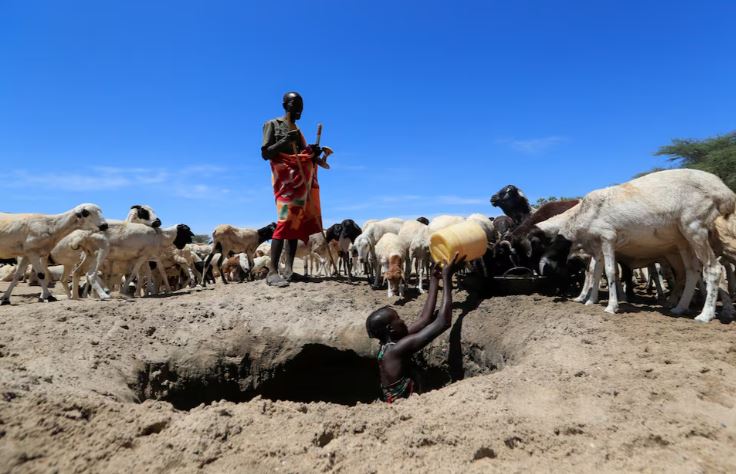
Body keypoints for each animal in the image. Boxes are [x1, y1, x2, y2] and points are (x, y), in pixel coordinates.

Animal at [532, 168, 732, 322]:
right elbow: (596, 273)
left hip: (696, 229)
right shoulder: (597, 247)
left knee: (714, 269)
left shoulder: (607, 238)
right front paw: (590, 300)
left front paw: (611, 306)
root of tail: (724, 191)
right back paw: (680, 307)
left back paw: (705, 315)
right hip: (684, 241)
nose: (555, 291)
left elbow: (610, 272)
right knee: (691, 271)